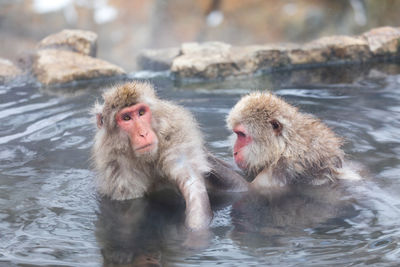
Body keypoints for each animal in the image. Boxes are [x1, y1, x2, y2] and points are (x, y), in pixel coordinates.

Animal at [92, 82, 247, 231]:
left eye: (141, 112)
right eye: (126, 118)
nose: (143, 133)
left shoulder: (177, 140)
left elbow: (193, 185)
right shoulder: (118, 169)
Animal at [227, 92, 360, 193]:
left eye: (242, 135)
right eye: (237, 134)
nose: (235, 152)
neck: (286, 146)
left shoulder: (284, 168)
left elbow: (250, 189)